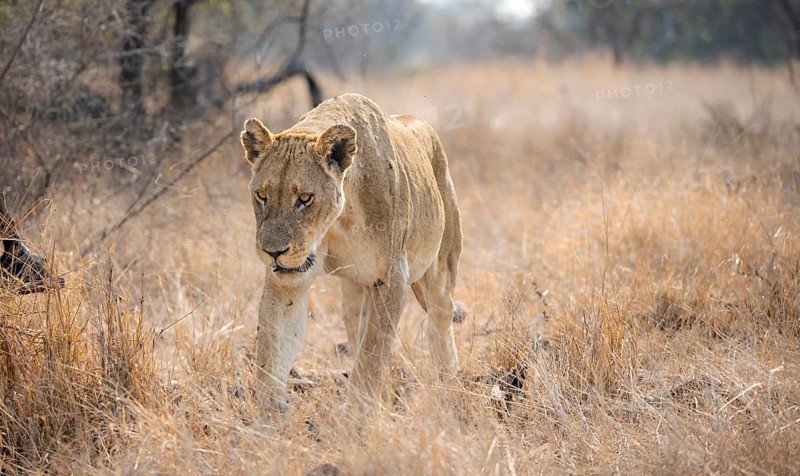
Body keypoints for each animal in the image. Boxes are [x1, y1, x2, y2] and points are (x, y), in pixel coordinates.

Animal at [239, 93, 464, 413]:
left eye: (304, 198)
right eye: (262, 195)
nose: (273, 252)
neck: (337, 220)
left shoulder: (392, 278)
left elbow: (372, 354)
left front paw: (357, 414)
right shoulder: (288, 281)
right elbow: (272, 348)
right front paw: (270, 414)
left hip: (441, 270)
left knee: (439, 325)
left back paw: (448, 386)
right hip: (354, 292)